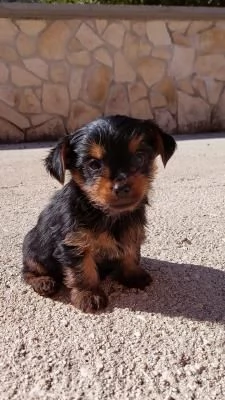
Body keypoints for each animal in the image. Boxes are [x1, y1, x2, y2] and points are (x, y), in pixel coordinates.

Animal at [22, 115, 176, 312]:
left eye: (139, 157)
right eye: (94, 165)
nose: (121, 186)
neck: (106, 213)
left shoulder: (131, 231)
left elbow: (130, 252)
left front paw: (133, 275)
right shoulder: (74, 243)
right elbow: (83, 271)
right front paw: (89, 295)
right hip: (33, 249)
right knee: (28, 271)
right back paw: (43, 282)